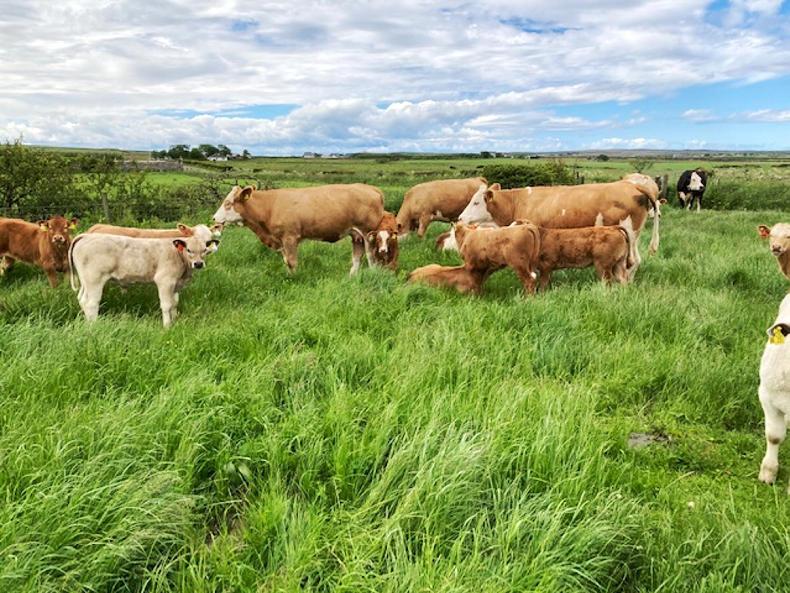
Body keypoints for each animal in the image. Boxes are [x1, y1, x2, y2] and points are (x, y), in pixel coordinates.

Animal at [68, 232, 215, 327]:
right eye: (189, 250)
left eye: (205, 249)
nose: (198, 264)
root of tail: (86, 236)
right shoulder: (165, 281)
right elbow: (166, 305)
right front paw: (167, 326)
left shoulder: (176, 284)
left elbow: (174, 303)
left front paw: (175, 321)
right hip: (95, 279)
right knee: (91, 303)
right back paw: (94, 325)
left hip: (85, 281)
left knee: (82, 299)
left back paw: (87, 322)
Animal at [212, 184, 384, 274]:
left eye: (228, 203)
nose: (213, 218)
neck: (270, 206)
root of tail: (371, 188)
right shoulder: (281, 240)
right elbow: (286, 261)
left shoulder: (290, 238)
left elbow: (292, 261)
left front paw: (293, 278)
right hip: (356, 234)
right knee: (357, 256)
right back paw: (352, 276)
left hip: (368, 233)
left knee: (371, 256)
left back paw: (373, 274)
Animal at [458, 174, 659, 280]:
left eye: (476, 202)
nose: (460, 218)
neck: (517, 202)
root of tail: (631, 185)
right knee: (635, 261)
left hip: (630, 233)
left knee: (632, 262)